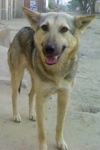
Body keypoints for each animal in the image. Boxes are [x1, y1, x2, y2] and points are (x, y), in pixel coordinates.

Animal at [7, 7, 95, 150]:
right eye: (44, 27)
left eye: (64, 29)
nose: (49, 49)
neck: (56, 71)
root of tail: (23, 28)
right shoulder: (42, 98)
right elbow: (41, 130)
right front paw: (43, 146)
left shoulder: (64, 97)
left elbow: (60, 124)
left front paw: (60, 142)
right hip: (17, 75)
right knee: (14, 95)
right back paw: (16, 115)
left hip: (35, 81)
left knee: (31, 95)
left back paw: (32, 114)